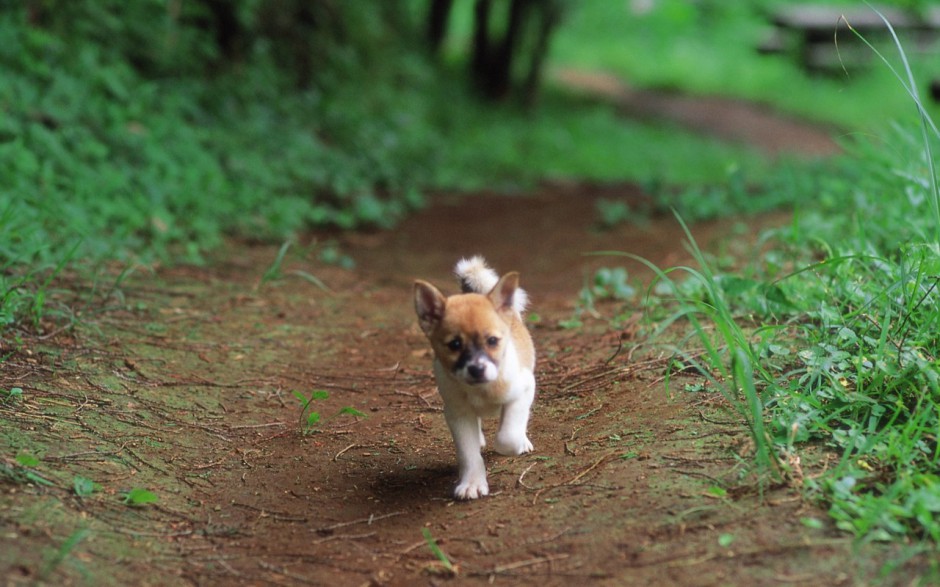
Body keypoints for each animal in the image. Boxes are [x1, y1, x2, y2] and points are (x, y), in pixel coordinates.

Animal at [414, 258, 536, 500]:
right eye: (454, 345)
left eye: (492, 341)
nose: (477, 369)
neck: (482, 390)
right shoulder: (457, 414)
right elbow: (468, 453)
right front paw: (472, 482)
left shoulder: (525, 388)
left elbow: (507, 436)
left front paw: (516, 443)